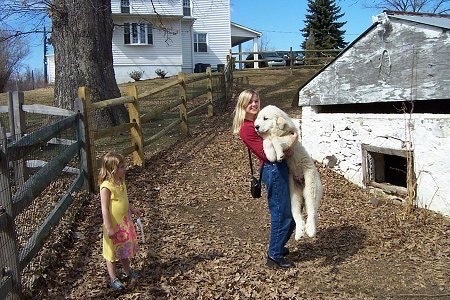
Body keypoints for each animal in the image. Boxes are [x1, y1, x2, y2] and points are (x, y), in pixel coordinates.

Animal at [253, 104, 324, 240]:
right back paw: (299, 233)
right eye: (258, 118)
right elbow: (267, 141)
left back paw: (310, 230)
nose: (256, 127)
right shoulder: (270, 138)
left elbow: (276, 140)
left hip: (310, 187)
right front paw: (271, 154)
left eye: (265, 118)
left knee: (312, 211)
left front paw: (279, 154)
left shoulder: (291, 138)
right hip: (293, 195)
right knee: (297, 215)